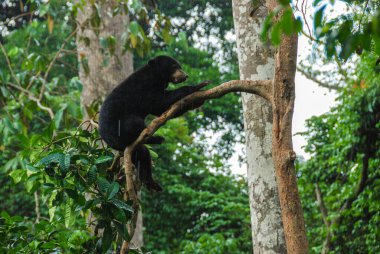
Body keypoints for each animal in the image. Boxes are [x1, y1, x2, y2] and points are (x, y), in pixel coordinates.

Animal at [98, 55, 208, 190]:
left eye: (180, 66)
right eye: (174, 67)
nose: (185, 75)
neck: (157, 76)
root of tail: (109, 141)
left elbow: (162, 108)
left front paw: (198, 101)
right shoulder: (145, 87)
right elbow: (158, 103)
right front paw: (199, 85)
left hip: (130, 148)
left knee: (143, 156)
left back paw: (152, 183)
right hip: (119, 126)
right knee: (134, 124)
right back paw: (156, 138)